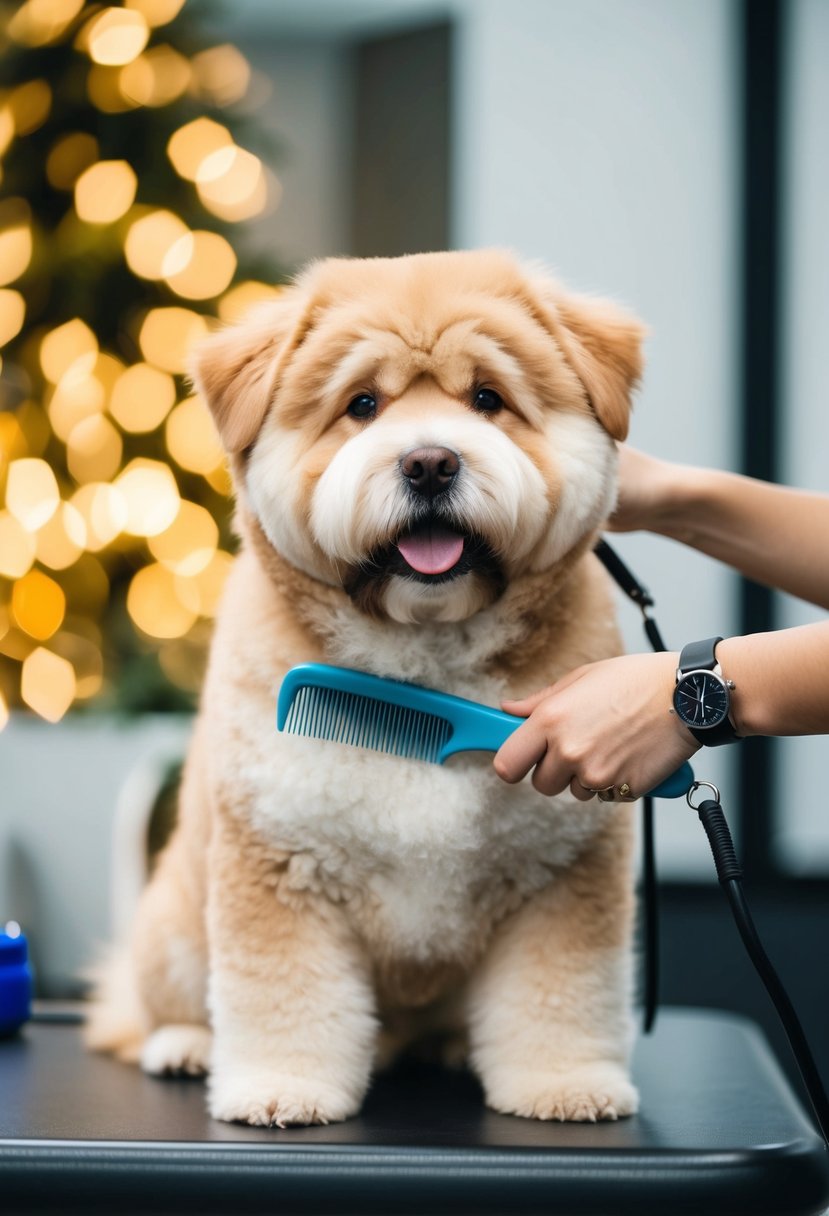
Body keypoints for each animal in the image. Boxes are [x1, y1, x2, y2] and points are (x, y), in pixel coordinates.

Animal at [88, 249, 646, 1128]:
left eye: (487, 398)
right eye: (362, 404)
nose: (429, 462)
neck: (426, 669)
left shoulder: (564, 875)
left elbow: (558, 991)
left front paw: (562, 1082)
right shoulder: (279, 867)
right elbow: (284, 994)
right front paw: (281, 1086)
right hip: (174, 927)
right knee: (149, 1007)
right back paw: (185, 1044)